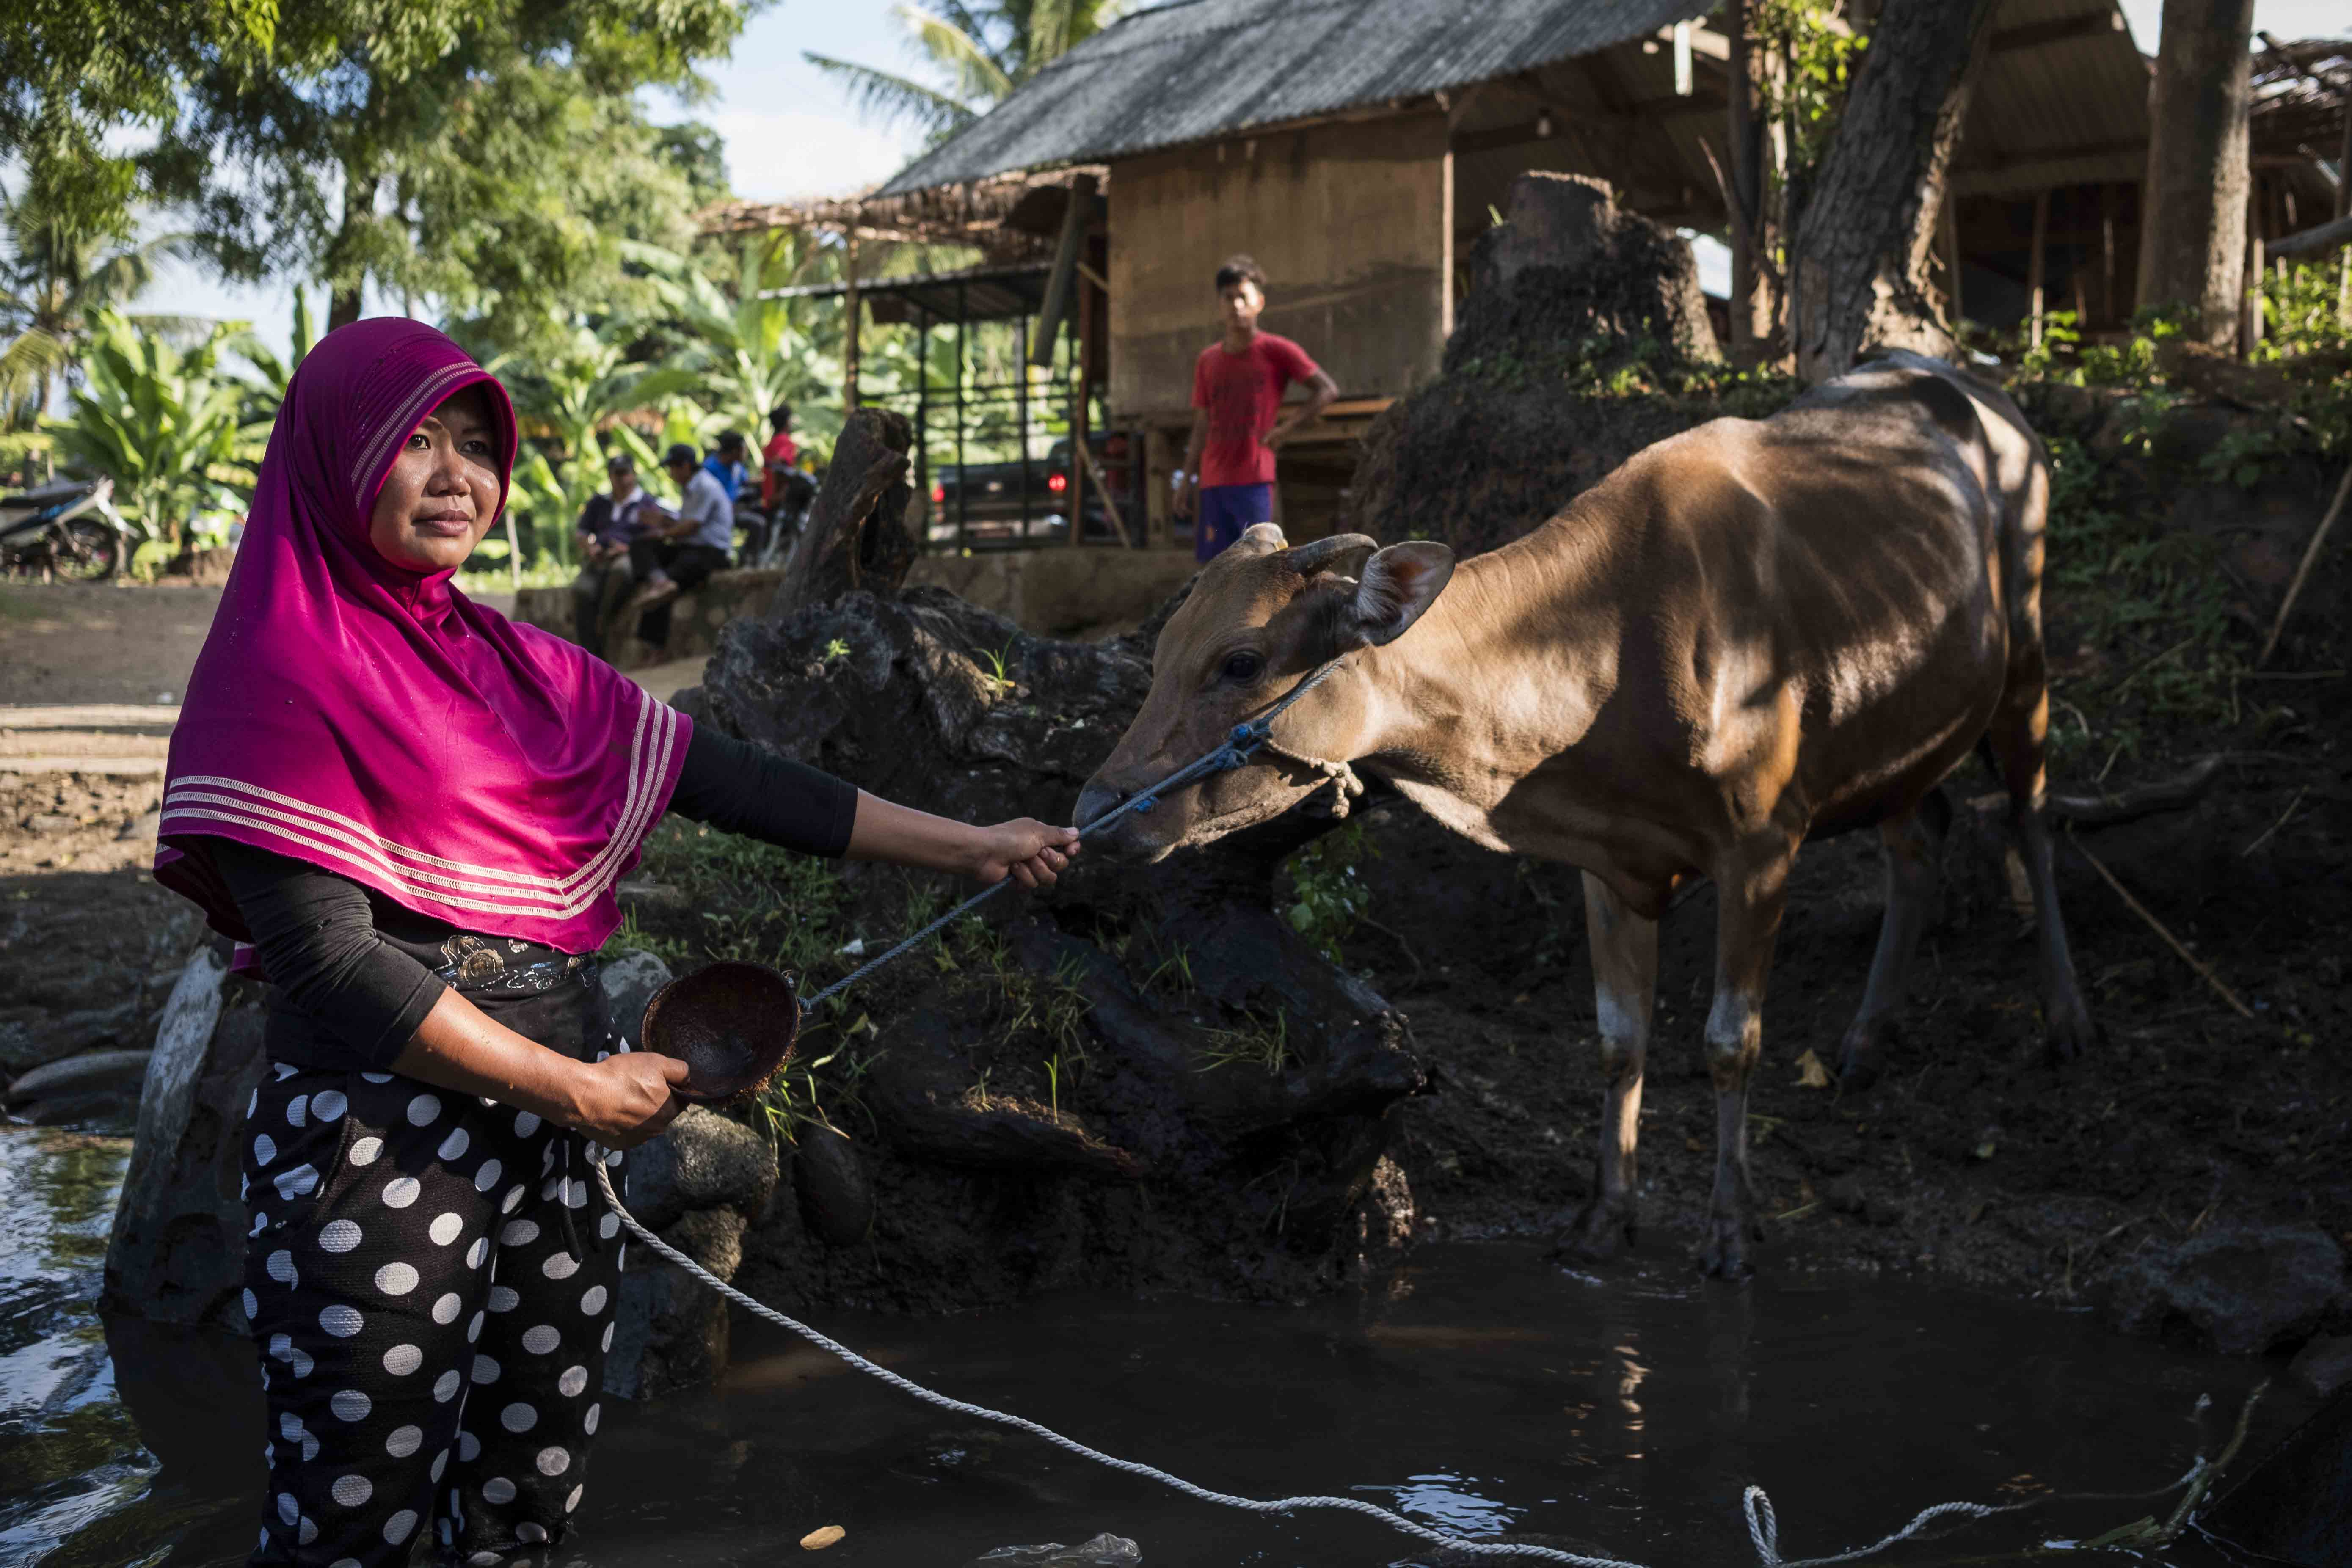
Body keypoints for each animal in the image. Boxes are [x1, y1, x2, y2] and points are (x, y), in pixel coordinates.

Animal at [1077, 353, 2098, 1279]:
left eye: (1240, 661)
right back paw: (1864, 1041)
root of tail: (1972, 387)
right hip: (1903, 728)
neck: (1612, 654)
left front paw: (1732, 1229)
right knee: (1921, 840)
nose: (1094, 806)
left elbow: (1729, 1041)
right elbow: (1618, 1039)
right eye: (1161, 651)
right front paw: (1604, 1215)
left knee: (2031, 818)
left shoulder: (1763, 841)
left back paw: (2065, 1020)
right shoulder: (1609, 866)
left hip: (2027, 659)